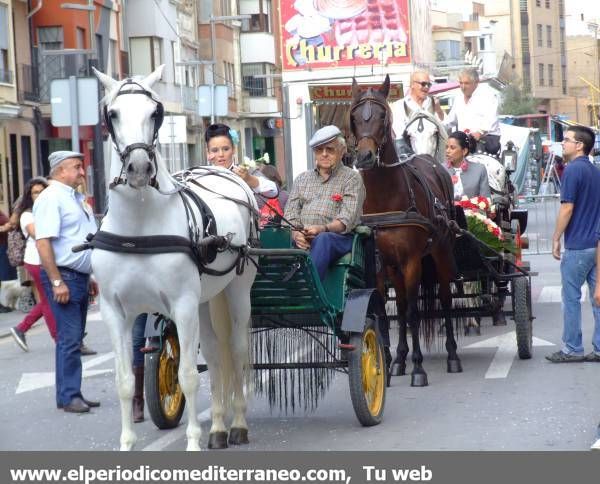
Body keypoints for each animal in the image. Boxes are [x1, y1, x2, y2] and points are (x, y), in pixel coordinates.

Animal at [92, 66, 258, 452]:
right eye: (112, 114)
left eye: (156, 113)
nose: (138, 167)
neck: (139, 227)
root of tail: (224, 173)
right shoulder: (114, 310)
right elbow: (125, 380)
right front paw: (127, 444)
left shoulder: (181, 304)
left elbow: (186, 376)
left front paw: (193, 442)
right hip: (205, 300)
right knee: (214, 353)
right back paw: (218, 427)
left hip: (237, 290)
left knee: (237, 350)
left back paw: (238, 423)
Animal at [350, 75, 462, 386]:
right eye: (355, 117)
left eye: (382, 116)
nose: (365, 156)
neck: (385, 197)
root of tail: (430, 161)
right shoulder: (379, 267)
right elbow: (388, 314)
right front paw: (388, 363)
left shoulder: (412, 262)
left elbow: (413, 313)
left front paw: (418, 368)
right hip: (394, 268)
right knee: (399, 306)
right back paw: (400, 359)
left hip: (441, 252)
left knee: (445, 299)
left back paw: (452, 355)